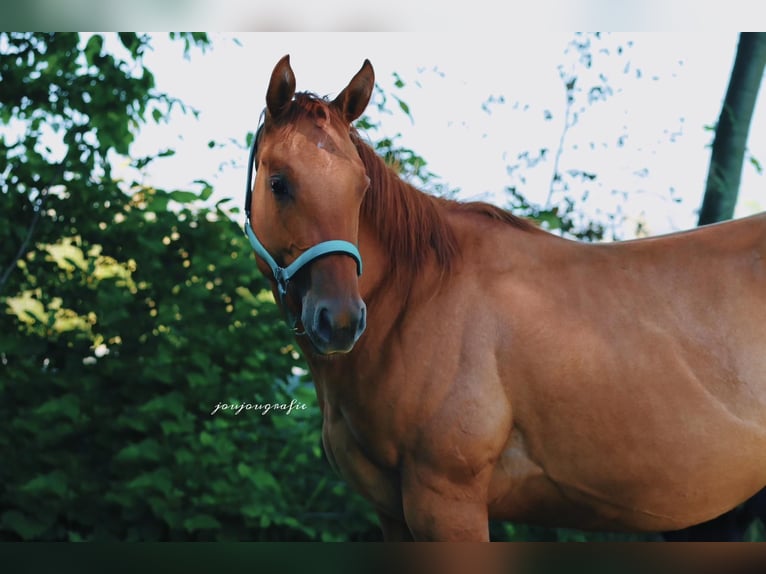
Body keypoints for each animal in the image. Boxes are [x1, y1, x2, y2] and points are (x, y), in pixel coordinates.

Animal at [244, 55, 766, 544]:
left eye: (361, 188)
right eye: (279, 183)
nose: (341, 321)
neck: (416, 300)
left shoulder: (446, 502)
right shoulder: (391, 512)